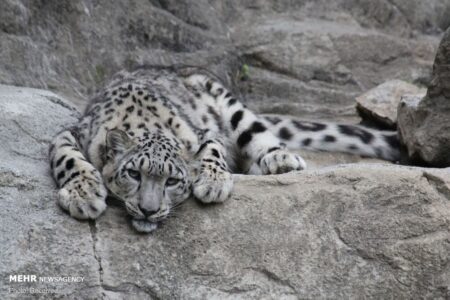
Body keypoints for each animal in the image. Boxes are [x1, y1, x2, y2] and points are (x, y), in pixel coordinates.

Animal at [49, 66, 400, 232]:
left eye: (173, 181)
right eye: (134, 173)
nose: (149, 210)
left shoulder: (203, 133)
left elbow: (212, 151)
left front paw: (213, 183)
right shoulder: (70, 134)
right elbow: (68, 159)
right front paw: (84, 196)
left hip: (232, 106)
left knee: (258, 134)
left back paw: (280, 159)